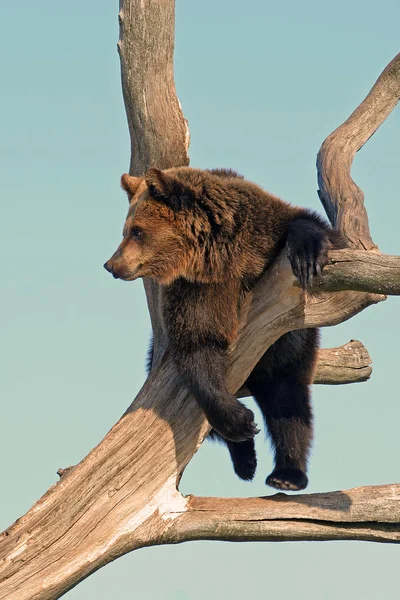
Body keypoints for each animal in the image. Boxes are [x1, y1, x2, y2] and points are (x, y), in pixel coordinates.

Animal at [104, 166, 340, 490]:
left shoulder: (263, 231)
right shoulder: (196, 291)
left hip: (290, 346)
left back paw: (287, 474)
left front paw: (307, 254)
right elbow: (197, 347)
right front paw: (241, 421)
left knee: (288, 398)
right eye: (127, 229)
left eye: (136, 230)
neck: (217, 257)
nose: (111, 264)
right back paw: (246, 459)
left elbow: (310, 226)